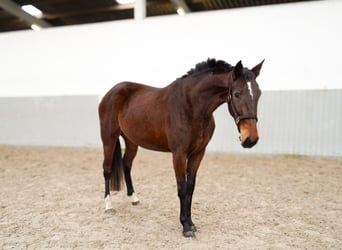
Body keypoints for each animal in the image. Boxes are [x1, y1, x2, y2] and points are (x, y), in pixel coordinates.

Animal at [97, 58, 264, 236]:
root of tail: (111, 92)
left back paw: (134, 198)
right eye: (237, 94)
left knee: (126, 164)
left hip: (131, 141)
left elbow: (190, 187)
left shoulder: (198, 153)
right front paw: (185, 226)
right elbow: (182, 188)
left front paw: (191, 223)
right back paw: (108, 206)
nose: (251, 139)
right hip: (109, 138)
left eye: (259, 93)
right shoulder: (179, 154)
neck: (191, 106)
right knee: (107, 169)